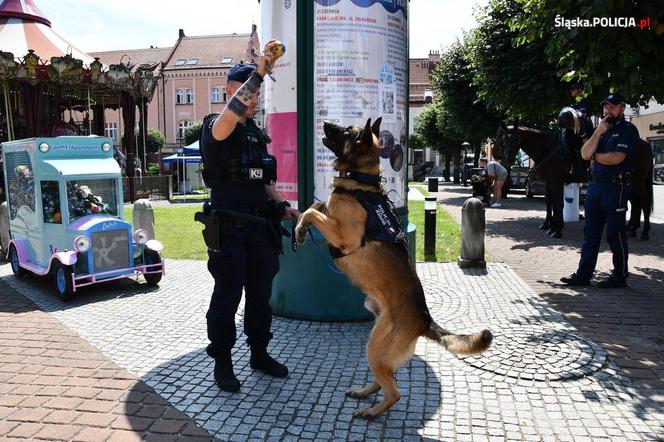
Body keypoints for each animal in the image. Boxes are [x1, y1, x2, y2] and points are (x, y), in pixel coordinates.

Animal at [296, 117, 492, 418]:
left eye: (347, 131)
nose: (326, 122)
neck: (360, 181)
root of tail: (424, 319)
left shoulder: (344, 237)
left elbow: (312, 211)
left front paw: (300, 226)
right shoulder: (330, 214)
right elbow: (317, 205)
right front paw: (301, 228)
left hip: (375, 348)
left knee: (394, 392)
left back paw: (371, 412)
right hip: (376, 344)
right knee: (383, 380)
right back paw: (364, 393)